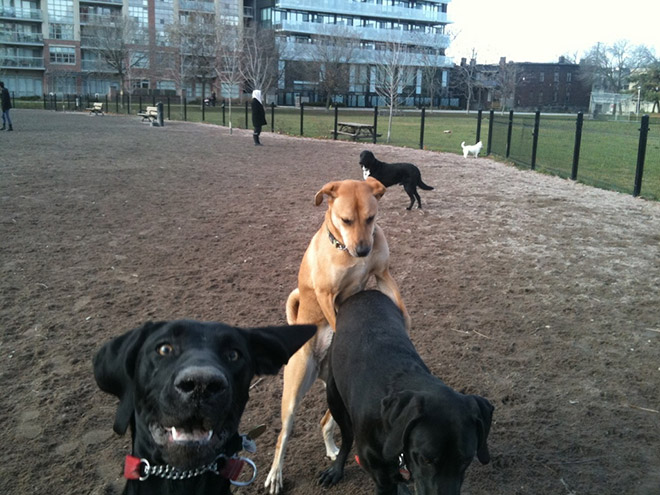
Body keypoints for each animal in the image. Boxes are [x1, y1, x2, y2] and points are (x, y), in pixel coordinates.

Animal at [262, 179, 408, 495]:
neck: (344, 248)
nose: (363, 250)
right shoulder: (327, 295)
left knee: (325, 422)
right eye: (346, 220)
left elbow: (400, 305)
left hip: (335, 393)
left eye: (371, 218)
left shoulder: (382, 273)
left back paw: (332, 449)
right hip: (294, 394)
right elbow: (337, 322)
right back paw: (275, 475)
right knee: (283, 436)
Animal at [318, 292, 492, 494]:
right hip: (334, 397)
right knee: (347, 438)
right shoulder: (382, 480)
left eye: (466, 460)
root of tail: (363, 293)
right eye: (426, 459)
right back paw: (336, 469)